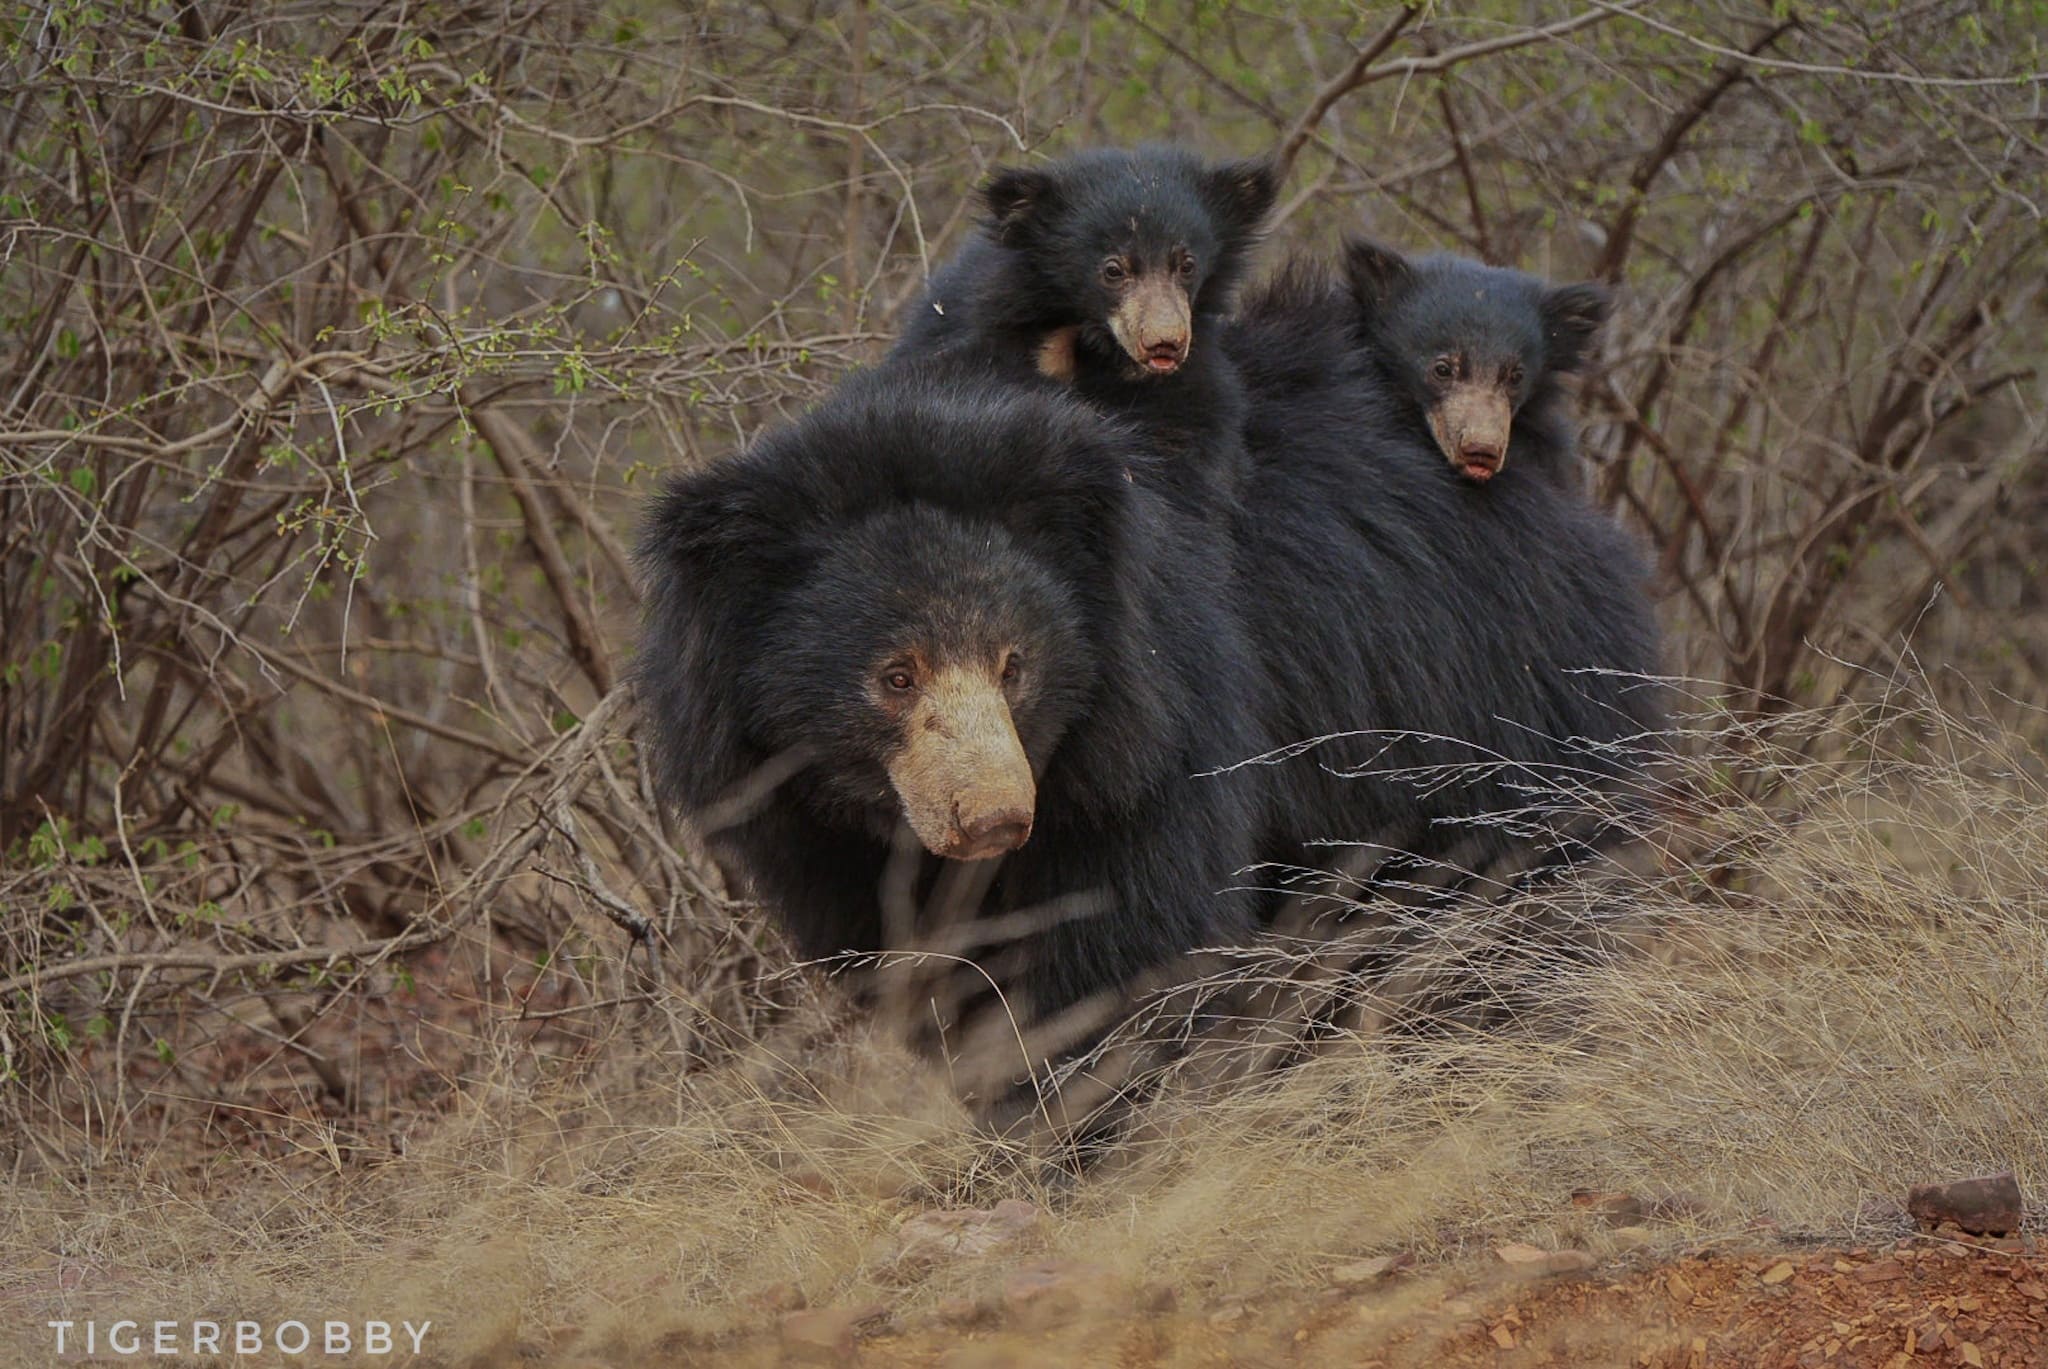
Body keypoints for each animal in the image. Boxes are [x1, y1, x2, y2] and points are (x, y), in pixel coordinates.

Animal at [635, 359, 1268, 1142]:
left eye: (1013, 666)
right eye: (897, 677)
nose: (995, 818)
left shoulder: (1146, 739)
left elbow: (1128, 945)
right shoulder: (812, 830)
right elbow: (944, 975)